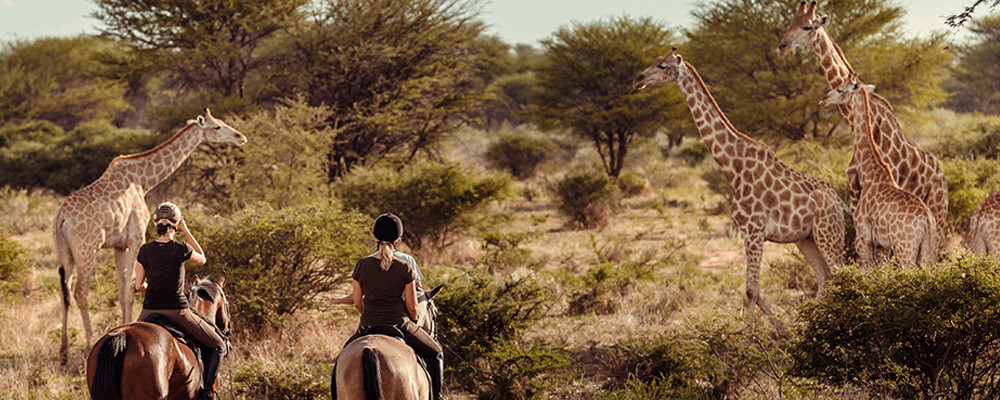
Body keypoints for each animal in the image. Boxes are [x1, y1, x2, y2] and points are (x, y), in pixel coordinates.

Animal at [53, 108, 247, 362]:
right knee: (80, 293)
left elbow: (122, 288)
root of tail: (61, 218)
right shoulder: (136, 238)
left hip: (64, 253)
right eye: (217, 127)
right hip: (87, 249)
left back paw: (64, 351)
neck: (143, 181)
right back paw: (86, 343)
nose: (240, 137)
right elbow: (130, 289)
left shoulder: (119, 245)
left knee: (64, 292)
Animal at [632, 49, 844, 328]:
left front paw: (751, 338)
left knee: (844, 273)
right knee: (825, 276)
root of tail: (840, 203)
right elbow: (753, 289)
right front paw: (784, 331)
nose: (638, 79)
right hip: (806, 238)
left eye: (662, 66)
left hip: (828, 233)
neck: (733, 167)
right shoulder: (747, 233)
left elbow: (751, 290)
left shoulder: (754, 232)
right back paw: (810, 328)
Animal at [776, 0, 948, 239]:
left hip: (937, 211)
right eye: (791, 21)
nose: (782, 47)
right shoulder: (854, 194)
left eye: (808, 26)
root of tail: (942, 175)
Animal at [820, 76, 936, 268]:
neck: (869, 173)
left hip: (904, 246)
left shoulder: (863, 237)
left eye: (840, 89)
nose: (823, 99)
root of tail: (926, 219)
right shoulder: (883, 245)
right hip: (927, 249)